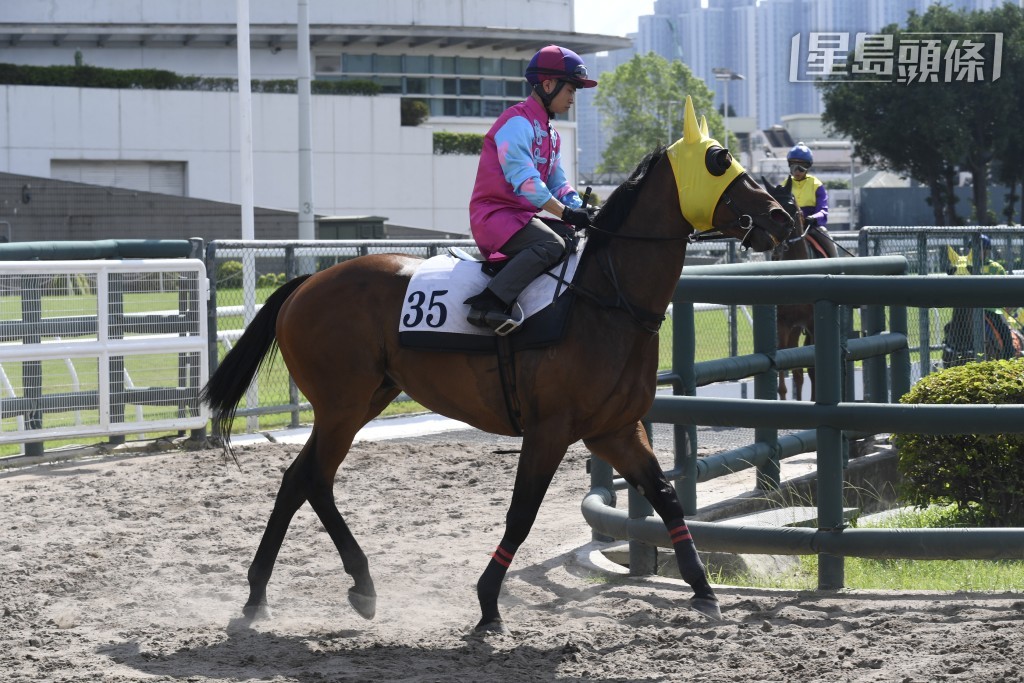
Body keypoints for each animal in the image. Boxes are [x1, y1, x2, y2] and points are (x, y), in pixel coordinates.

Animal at [200, 97, 793, 634]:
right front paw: (488, 603)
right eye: (719, 160)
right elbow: (522, 511)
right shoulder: (550, 430)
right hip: (342, 405)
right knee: (315, 480)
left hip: (365, 400)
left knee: (300, 480)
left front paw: (704, 590)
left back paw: (266, 596)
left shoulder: (615, 430)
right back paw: (350, 585)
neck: (602, 300)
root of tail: (306, 284)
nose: (781, 216)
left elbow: (667, 498)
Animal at [762, 178, 837, 401]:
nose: (778, 242)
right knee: (796, 371)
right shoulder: (782, 324)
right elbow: (784, 364)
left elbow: (812, 366)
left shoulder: (813, 323)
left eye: (790, 207)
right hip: (794, 327)